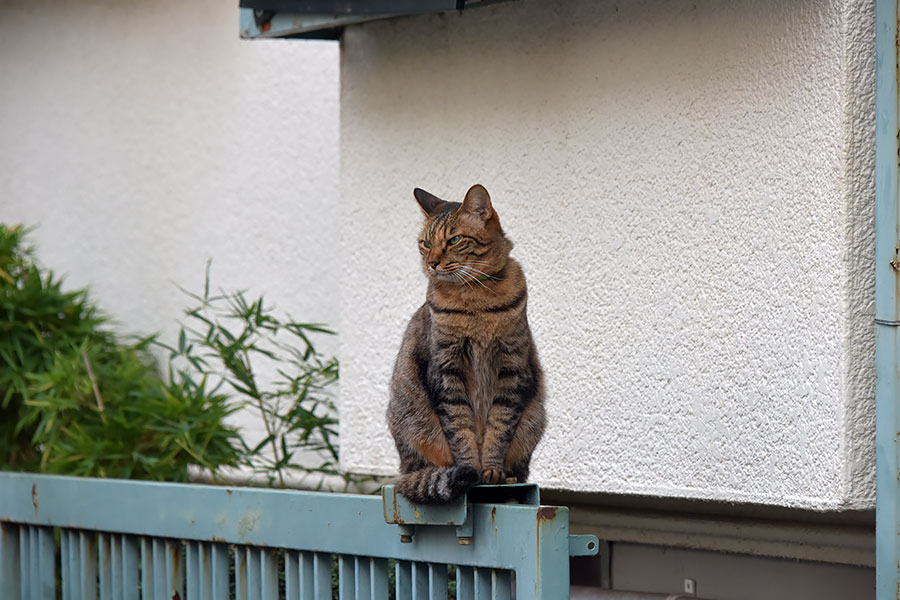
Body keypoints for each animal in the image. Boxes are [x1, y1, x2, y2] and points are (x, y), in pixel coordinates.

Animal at [384, 185, 544, 504]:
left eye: (454, 240)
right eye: (425, 243)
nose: (432, 263)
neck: (475, 300)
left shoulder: (512, 366)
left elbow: (499, 425)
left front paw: (492, 470)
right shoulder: (446, 368)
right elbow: (459, 428)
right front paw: (471, 469)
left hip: (535, 418)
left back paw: (509, 476)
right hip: (410, 420)